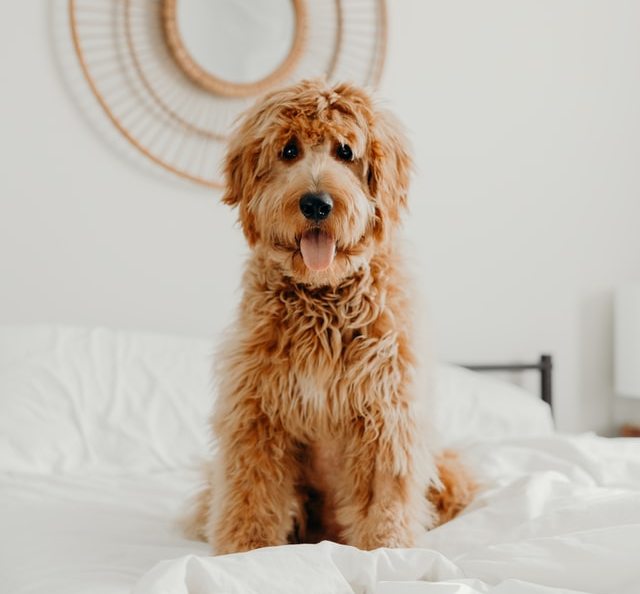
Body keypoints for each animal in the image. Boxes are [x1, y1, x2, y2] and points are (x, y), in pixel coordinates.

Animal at [185, 80, 476, 556]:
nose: (316, 204)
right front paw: (245, 552)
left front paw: (387, 551)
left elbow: (383, 498)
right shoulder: (255, 410)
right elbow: (252, 492)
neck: (323, 298)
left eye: (345, 151)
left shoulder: (385, 410)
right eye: (288, 150)